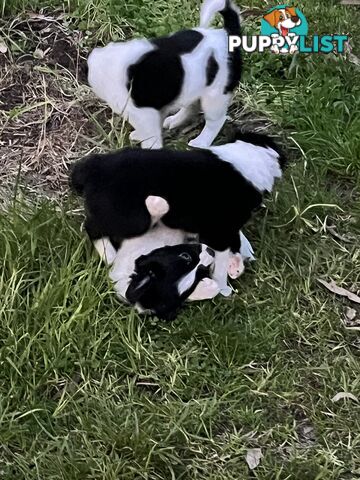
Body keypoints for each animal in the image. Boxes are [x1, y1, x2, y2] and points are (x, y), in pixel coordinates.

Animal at [86, 0, 242, 148]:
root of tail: (226, 34)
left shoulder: (144, 113)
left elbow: (151, 136)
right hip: (194, 87)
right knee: (191, 106)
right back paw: (175, 120)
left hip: (215, 96)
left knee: (216, 121)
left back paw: (201, 142)